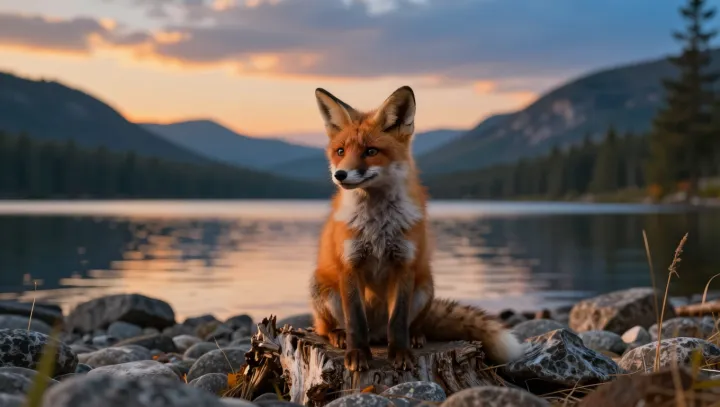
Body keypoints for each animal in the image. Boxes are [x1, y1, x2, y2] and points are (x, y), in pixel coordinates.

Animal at [309, 85, 526, 372]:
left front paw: (401, 353)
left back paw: (415, 337)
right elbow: (356, 322)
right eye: (341, 151)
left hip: (425, 286)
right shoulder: (349, 265)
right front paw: (357, 354)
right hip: (325, 289)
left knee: (408, 325)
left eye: (371, 151)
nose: (340, 175)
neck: (378, 226)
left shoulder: (405, 264)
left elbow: (398, 322)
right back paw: (339, 335)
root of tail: (376, 335)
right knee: (325, 327)